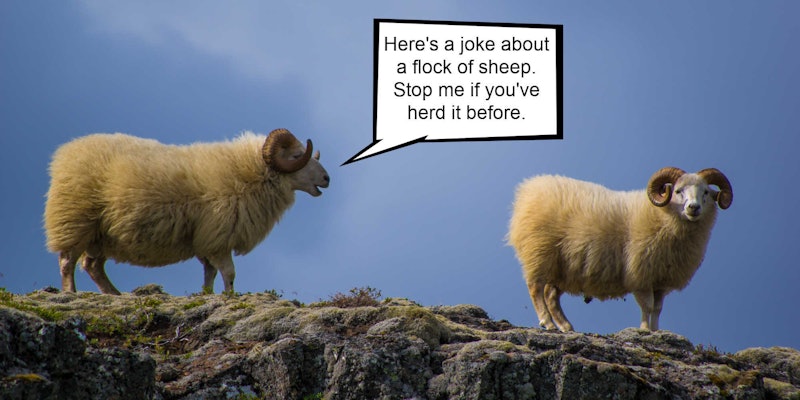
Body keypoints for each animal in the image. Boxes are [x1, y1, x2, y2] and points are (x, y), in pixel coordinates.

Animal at [44, 128, 330, 295]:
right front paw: (230, 297)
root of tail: (67, 152)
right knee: (68, 261)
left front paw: (207, 295)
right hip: (75, 221)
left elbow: (210, 273)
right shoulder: (218, 238)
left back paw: (114, 294)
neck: (251, 172)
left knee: (92, 266)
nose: (327, 179)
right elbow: (229, 273)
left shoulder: (206, 240)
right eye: (296, 156)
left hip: (101, 235)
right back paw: (70, 293)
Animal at [507, 167, 732, 332]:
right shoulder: (641, 273)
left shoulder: (660, 279)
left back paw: (566, 326)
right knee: (536, 288)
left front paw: (656, 331)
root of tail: (529, 189)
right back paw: (547, 323)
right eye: (677, 191)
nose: (693, 208)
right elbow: (647, 305)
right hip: (539, 253)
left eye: (706, 192)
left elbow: (658, 308)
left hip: (561, 268)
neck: (662, 214)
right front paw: (644, 330)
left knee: (550, 296)